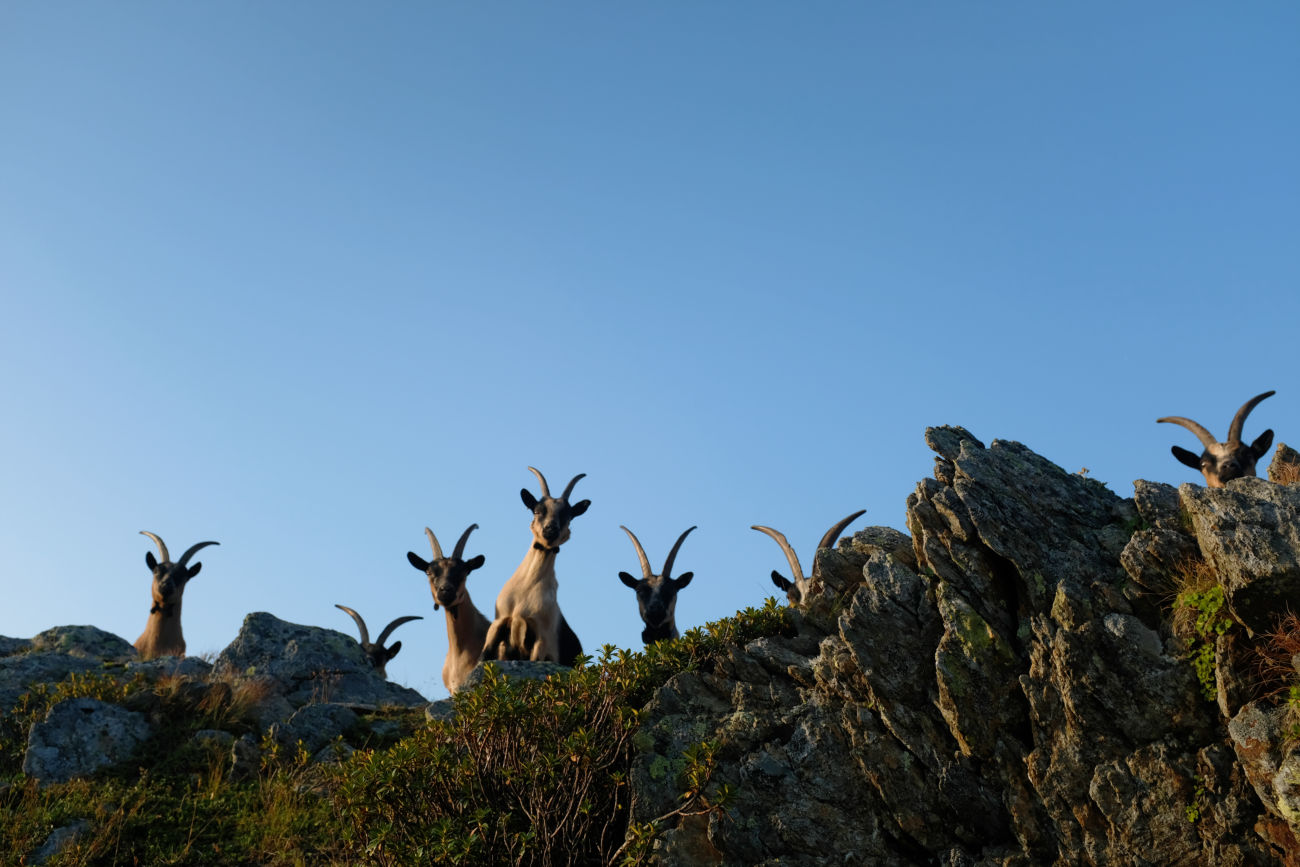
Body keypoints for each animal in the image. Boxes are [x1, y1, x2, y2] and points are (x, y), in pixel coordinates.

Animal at [481, 467, 588, 665]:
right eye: (538, 511)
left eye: (567, 515)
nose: (550, 530)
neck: (526, 588)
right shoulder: (499, 621)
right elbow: (484, 655)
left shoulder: (541, 637)